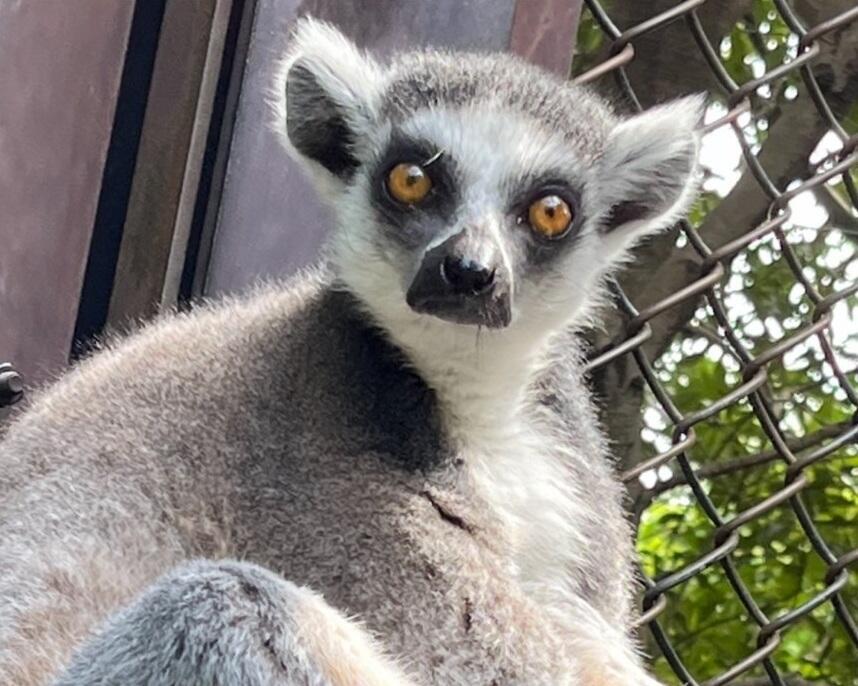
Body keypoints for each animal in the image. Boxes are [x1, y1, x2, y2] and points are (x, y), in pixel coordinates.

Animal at [0, 18, 702, 686]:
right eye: (411, 179)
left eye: (552, 211)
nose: (468, 272)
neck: (475, 390)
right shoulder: (320, 465)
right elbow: (478, 662)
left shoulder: (569, 470)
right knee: (218, 607)